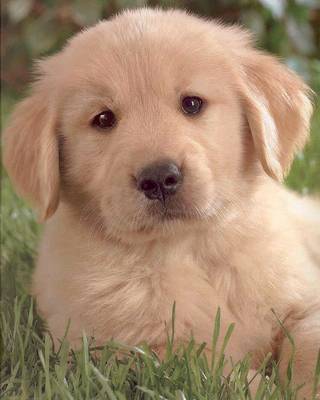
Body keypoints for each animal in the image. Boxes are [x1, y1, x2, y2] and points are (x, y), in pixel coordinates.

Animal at [3, 7, 320, 398]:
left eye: (192, 104)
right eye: (103, 119)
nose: (158, 178)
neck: (188, 248)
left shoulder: (305, 300)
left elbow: (308, 343)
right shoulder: (128, 349)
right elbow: (212, 368)